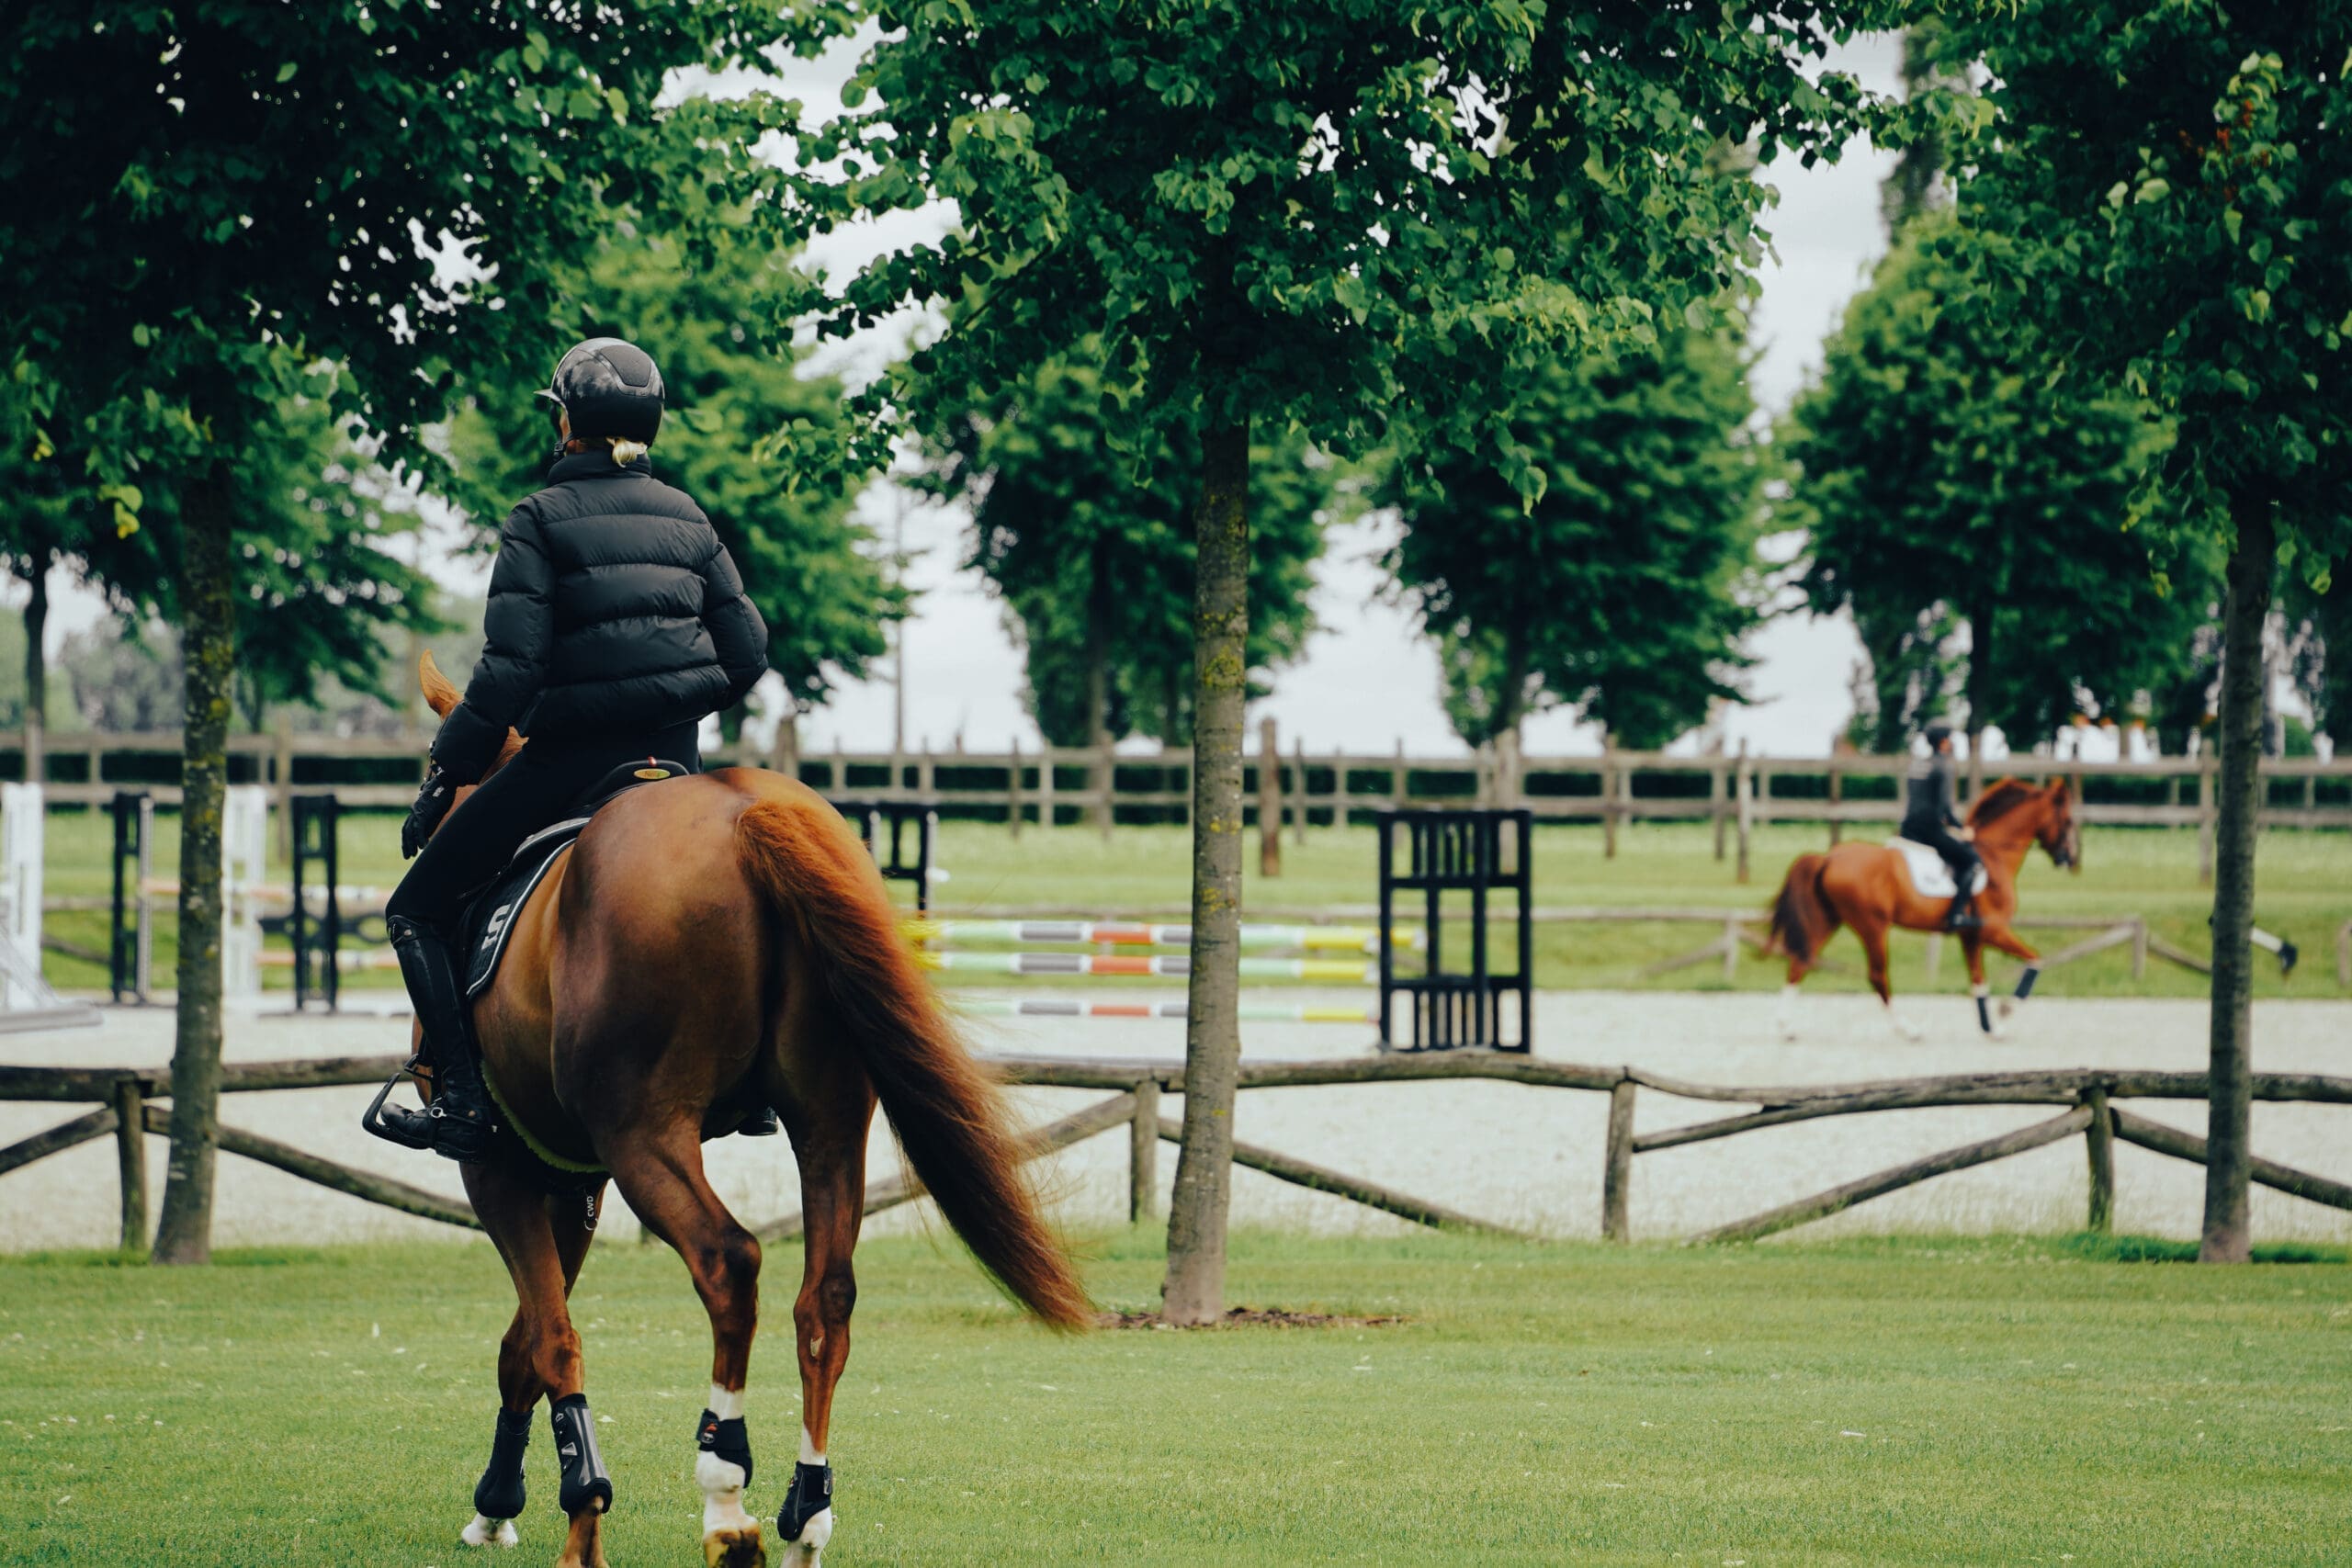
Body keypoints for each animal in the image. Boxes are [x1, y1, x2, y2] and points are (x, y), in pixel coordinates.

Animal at [399, 654, 1089, 1568]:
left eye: (438, 777)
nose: (419, 827)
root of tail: (745, 811)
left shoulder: (502, 1167)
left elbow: (549, 1338)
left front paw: (572, 1516)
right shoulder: (574, 1179)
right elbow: (529, 1343)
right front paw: (499, 1505)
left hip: (647, 1137)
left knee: (729, 1263)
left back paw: (724, 1488)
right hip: (828, 1122)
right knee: (825, 1298)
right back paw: (807, 1510)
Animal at [1764, 777, 2079, 1040]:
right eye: (2067, 820)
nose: (2070, 859)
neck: (1994, 857)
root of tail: (1829, 857)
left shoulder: (1971, 937)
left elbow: (1978, 982)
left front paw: (1990, 1028)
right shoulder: (1993, 931)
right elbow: (2035, 961)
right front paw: (2006, 1011)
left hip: (1829, 919)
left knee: (1801, 962)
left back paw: (1785, 1027)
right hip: (1872, 926)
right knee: (1877, 976)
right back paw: (1908, 1029)